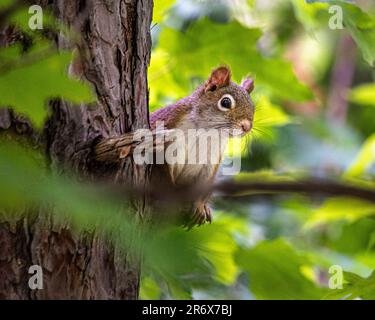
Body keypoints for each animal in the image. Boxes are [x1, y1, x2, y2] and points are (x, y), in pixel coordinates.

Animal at [148, 65, 254, 226]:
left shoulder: (211, 162)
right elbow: (163, 172)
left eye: (253, 107)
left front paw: (199, 207)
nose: (247, 127)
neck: (205, 131)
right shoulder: (166, 132)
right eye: (226, 102)